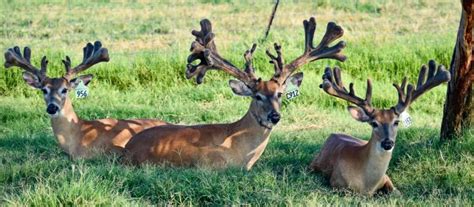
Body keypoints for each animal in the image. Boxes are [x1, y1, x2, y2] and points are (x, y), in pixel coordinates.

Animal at [310, 60, 450, 196]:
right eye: (374, 123)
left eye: (396, 122)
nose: (388, 143)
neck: (367, 185)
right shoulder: (336, 182)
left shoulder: (386, 178)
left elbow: (397, 193)